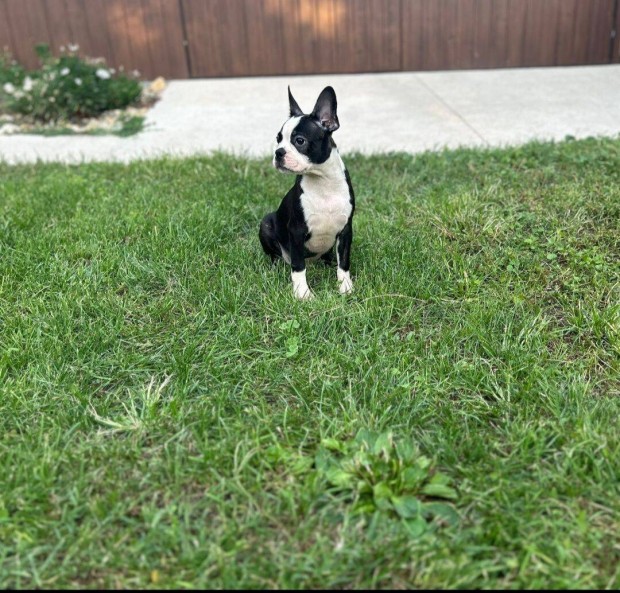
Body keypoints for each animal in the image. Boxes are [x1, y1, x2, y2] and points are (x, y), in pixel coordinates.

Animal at [258, 85, 354, 298]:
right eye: (278, 139)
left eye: (299, 141)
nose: (278, 152)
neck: (322, 182)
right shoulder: (296, 231)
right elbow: (298, 266)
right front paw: (303, 294)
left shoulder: (345, 229)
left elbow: (344, 262)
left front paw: (345, 287)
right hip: (266, 224)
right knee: (279, 257)